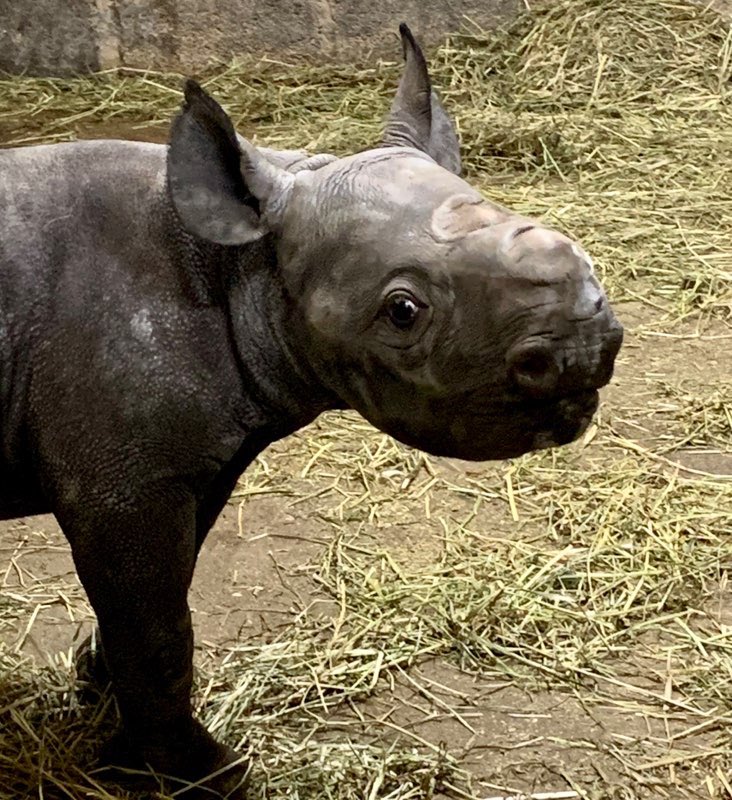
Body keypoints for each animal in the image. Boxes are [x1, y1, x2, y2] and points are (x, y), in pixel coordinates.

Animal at [0, 23, 622, 799]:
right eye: (403, 311)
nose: (587, 346)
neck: (242, 264)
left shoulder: (184, 464)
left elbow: (158, 600)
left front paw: (103, 696)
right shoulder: (123, 483)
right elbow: (160, 631)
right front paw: (209, 775)